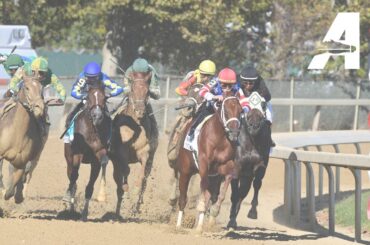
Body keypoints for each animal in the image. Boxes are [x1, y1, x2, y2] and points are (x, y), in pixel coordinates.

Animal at [62, 83, 111, 220]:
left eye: (104, 98)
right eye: (88, 97)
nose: (97, 116)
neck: (92, 131)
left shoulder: (97, 158)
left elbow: (90, 186)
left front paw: (84, 213)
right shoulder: (77, 154)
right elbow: (74, 177)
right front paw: (68, 198)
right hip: (68, 157)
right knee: (72, 177)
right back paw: (70, 208)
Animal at [109, 72, 157, 217]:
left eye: (147, 91)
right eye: (132, 90)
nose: (140, 111)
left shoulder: (145, 153)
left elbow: (142, 177)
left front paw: (135, 202)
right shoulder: (122, 153)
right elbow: (125, 171)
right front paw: (127, 190)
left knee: (145, 180)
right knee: (118, 182)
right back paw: (117, 211)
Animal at [176, 94, 243, 233]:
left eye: (241, 111)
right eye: (226, 111)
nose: (234, 134)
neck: (219, 139)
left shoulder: (225, 167)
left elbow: (220, 193)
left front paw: (213, 214)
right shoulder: (203, 164)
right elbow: (203, 189)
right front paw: (201, 208)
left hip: (213, 177)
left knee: (210, 194)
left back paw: (201, 225)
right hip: (185, 171)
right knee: (183, 198)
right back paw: (178, 226)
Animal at [224, 91, 270, 230]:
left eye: (263, 104)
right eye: (245, 106)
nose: (254, 126)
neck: (251, 142)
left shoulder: (260, 166)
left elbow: (256, 184)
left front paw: (252, 212)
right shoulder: (236, 167)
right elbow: (234, 193)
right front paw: (231, 219)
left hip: (247, 176)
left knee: (243, 192)